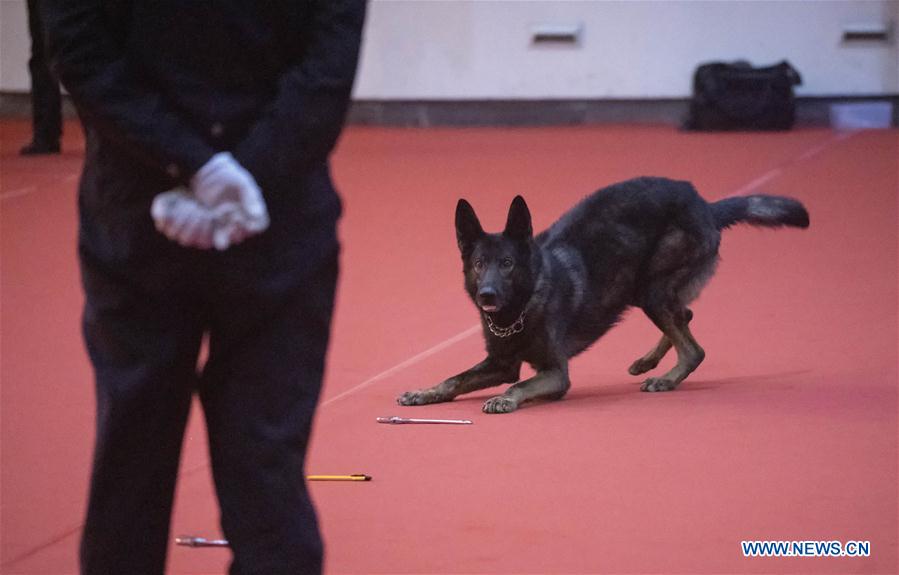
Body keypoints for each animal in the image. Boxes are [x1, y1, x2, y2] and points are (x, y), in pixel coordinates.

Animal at [396, 177, 808, 414]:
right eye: (480, 264)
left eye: (508, 263)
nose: (487, 295)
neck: (523, 306)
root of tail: (705, 204)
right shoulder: (499, 363)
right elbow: (454, 379)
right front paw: (424, 393)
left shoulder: (555, 373)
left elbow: (520, 384)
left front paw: (505, 399)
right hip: (650, 291)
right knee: (685, 319)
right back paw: (648, 361)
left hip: (650, 289)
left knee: (694, 347)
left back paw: (666, 378)